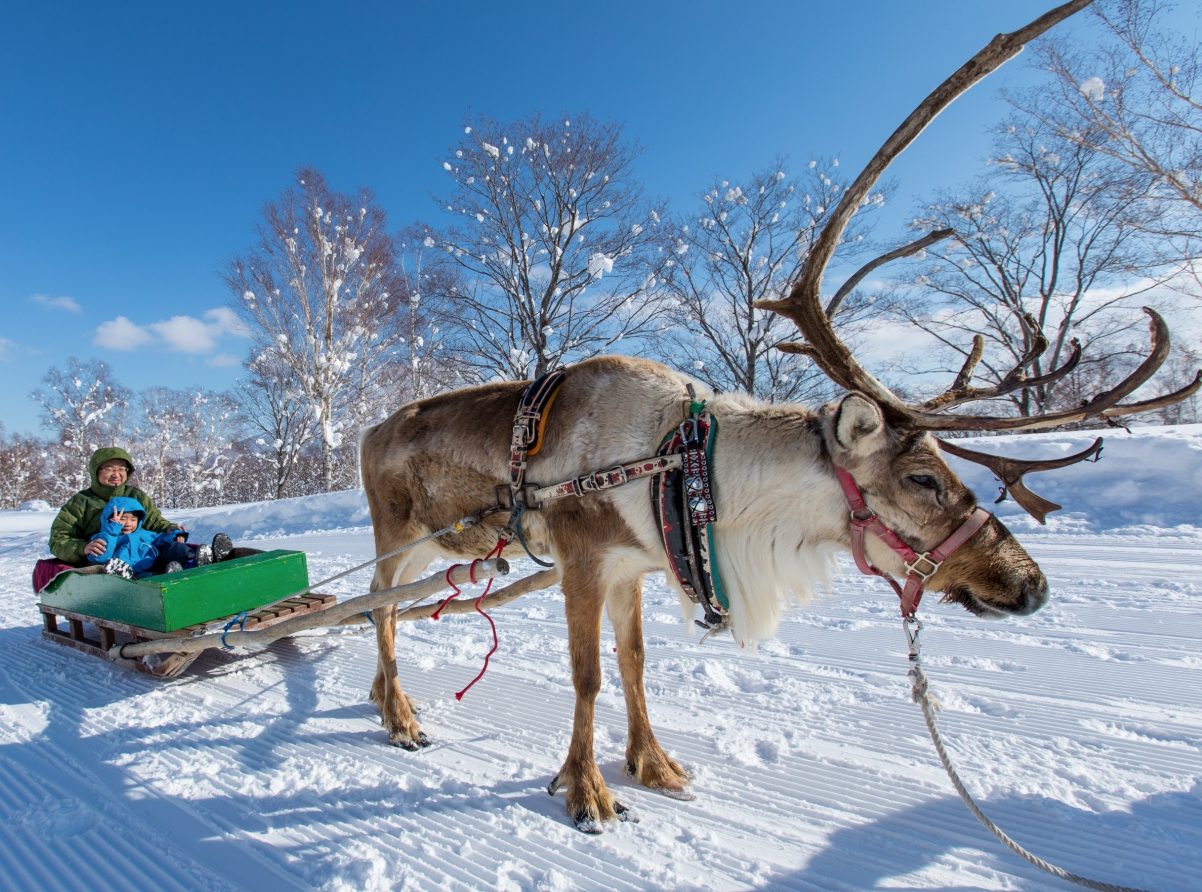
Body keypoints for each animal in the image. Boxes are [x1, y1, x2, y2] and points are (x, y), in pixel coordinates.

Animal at [359, 0, 1199, 833]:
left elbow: (634, 666)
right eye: (924, 479)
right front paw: (587, 792)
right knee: (379, 609)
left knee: (384, 612)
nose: (1032, 585)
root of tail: (368, 431)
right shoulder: (584, 558)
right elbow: (589, 675)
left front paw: (654, 764)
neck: (688, 469)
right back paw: (401, 717)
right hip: (397, 532)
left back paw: (380, 699)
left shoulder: (632, 564)